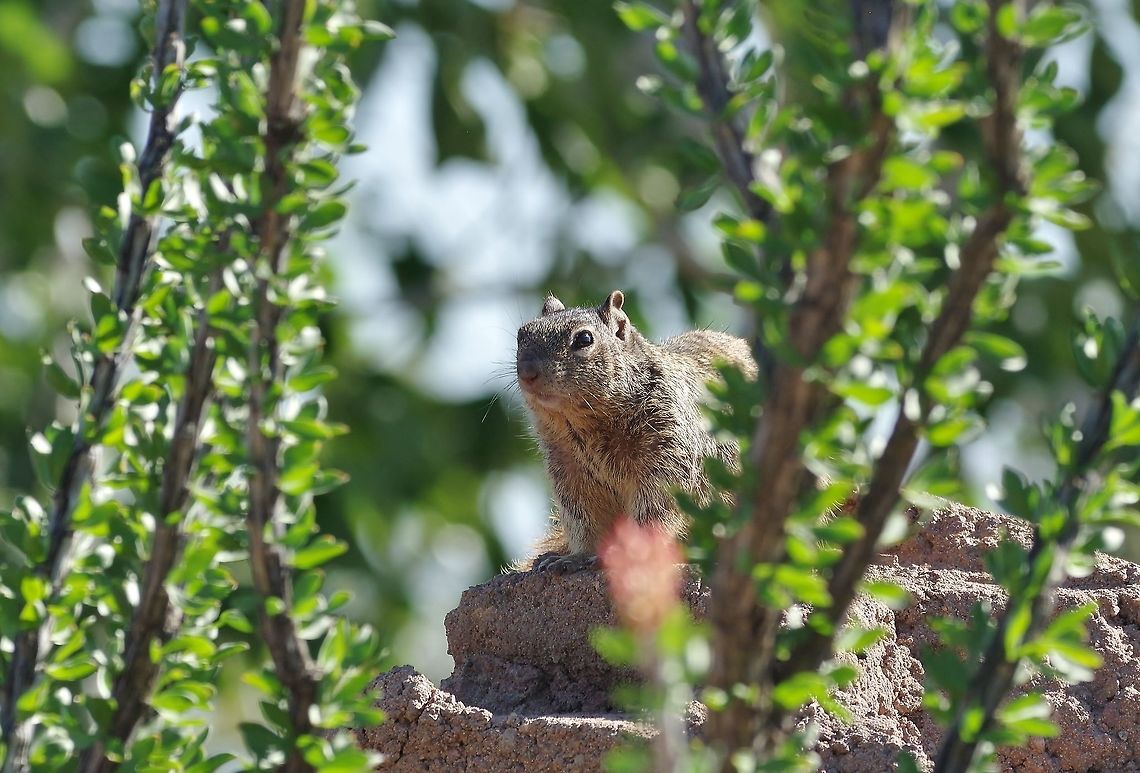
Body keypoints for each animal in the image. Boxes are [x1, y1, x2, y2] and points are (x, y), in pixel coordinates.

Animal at [515, 290, 758, 572]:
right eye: (521, 334)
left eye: (584, 338)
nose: (527, 372)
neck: (585, 427)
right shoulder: (570, 473)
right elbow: (584, 521)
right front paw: (574, 557)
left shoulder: (668, 456)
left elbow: (654, 512)